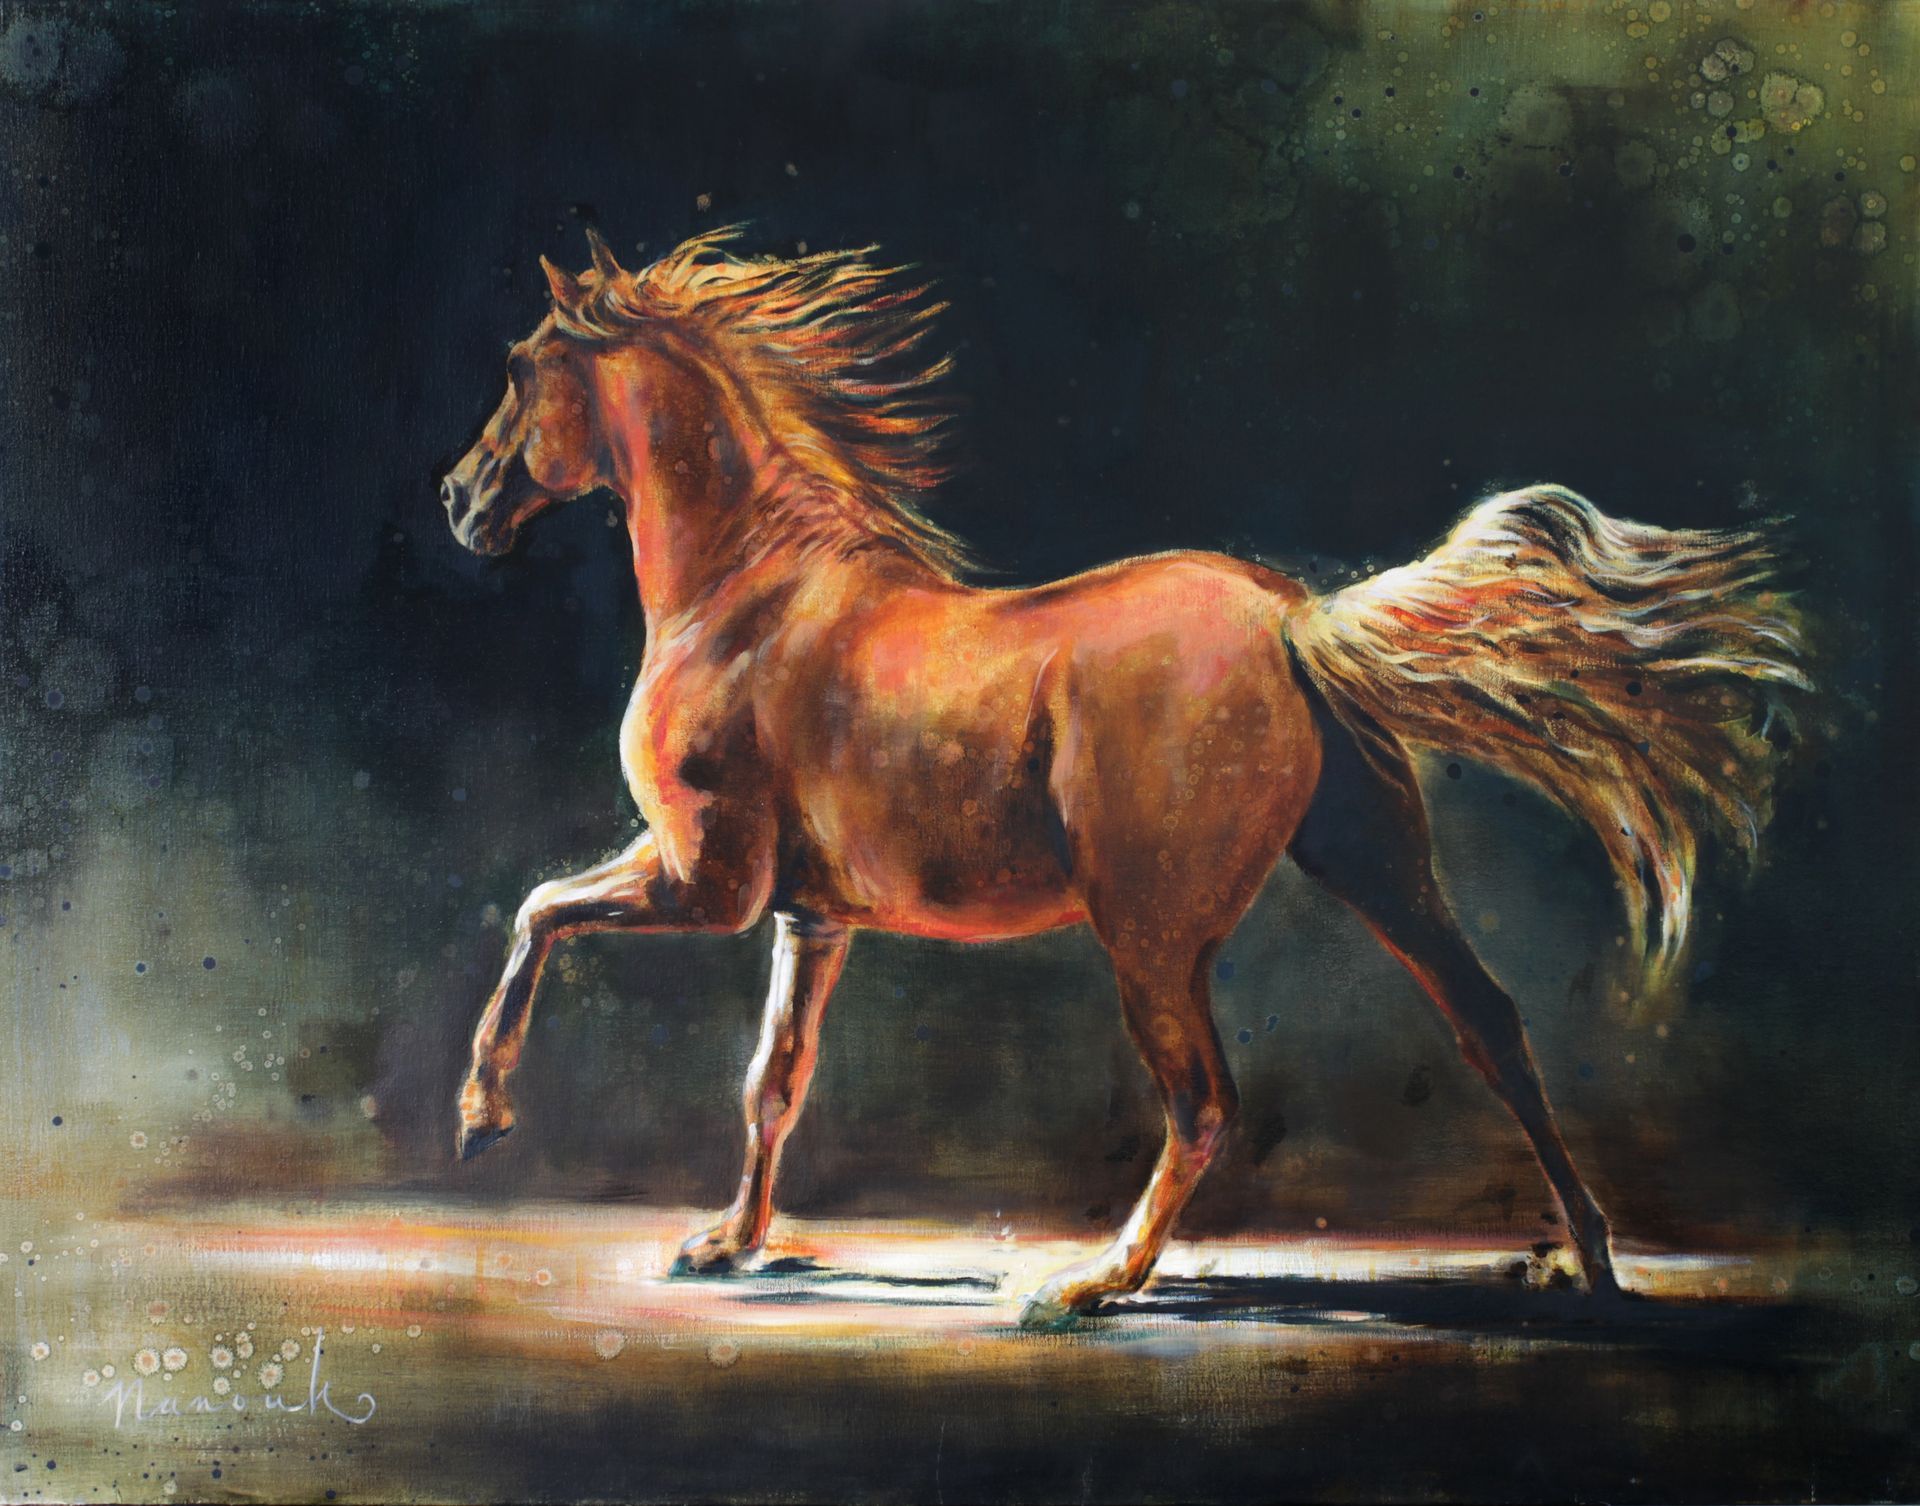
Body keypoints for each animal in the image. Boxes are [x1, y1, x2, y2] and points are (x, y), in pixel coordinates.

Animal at [439, 226, 1807, 1328]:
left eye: (519, 370)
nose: (456, 502)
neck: (751, 593)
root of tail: (1295, 621)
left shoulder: (708, 881)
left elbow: (539, 912)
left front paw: (479, 1115)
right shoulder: (805, 915)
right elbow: (770, 1080)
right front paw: (727, 1244)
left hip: (1150, 932)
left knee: (1204, 1103)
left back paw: (1089, 1286)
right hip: (1380, 870)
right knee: (1494, 1027)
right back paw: (1593, 1263)